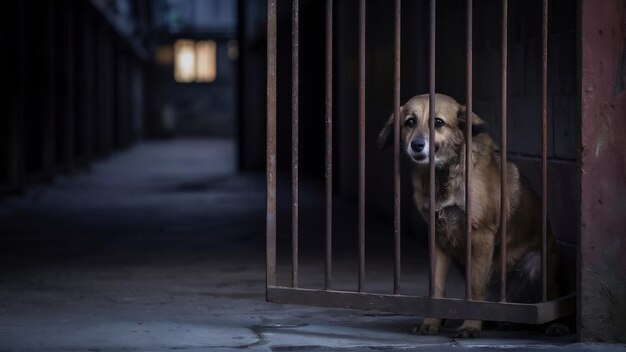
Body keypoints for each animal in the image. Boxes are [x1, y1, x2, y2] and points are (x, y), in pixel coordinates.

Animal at [376, 93, 560, 338]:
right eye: (410, 122)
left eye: (438, 122)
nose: (416, 145)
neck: (443, 176)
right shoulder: (438, 239)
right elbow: (436, 287)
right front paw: (432, 321)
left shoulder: (481, 235)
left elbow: (475, 289)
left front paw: (471, 325)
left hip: (536, 263)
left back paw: (554, 325)